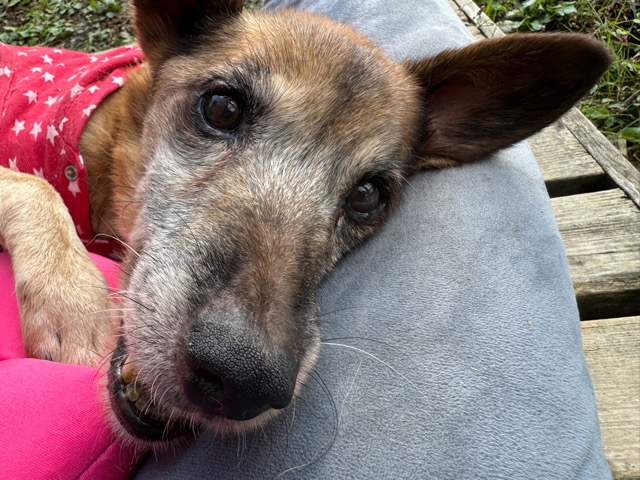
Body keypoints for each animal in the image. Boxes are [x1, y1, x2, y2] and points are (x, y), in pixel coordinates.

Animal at [0, 0, 611, 445]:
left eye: (367, 194)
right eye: (222, 108)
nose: (242, 380)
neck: (109, 157)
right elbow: (32, 186)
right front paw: (72, 301)